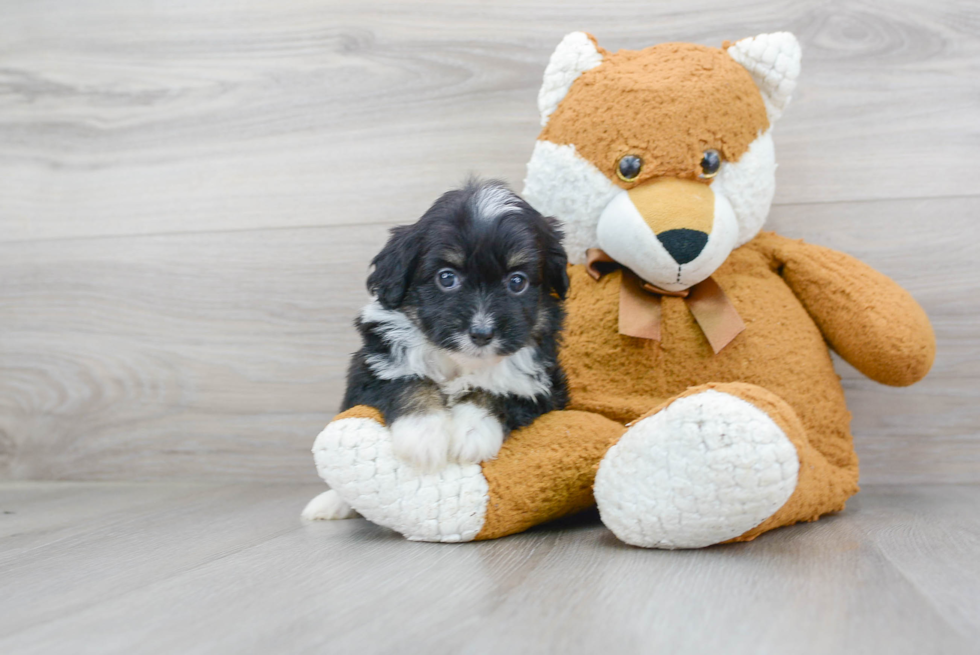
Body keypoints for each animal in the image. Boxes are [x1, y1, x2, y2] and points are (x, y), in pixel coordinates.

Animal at [340, 179, 572, 472]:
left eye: (517, 282)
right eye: (447, 278)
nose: (482, 334)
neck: (459, 363)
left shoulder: (544, 389)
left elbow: (497, 390)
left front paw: (472, 433)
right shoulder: (371, 369)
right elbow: (408, 381)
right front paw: (423, 434)